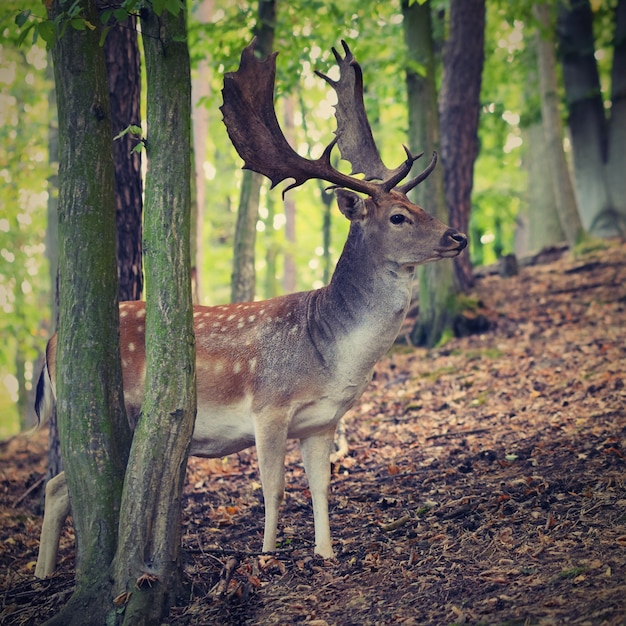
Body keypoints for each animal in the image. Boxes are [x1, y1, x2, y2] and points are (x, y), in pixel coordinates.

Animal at [33, 39, 464, 576]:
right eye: (400, 216)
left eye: (421, 207)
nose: (458, 237)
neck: (328, 354)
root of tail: (50, 342)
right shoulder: (269, 406)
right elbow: (273, 489)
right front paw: (268, 554)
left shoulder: (322, 421)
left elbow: (321, 488)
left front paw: (325, 552)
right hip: (107, 414)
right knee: (58, 484)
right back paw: (45, 573)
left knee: (57, 487)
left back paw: (46, 571)